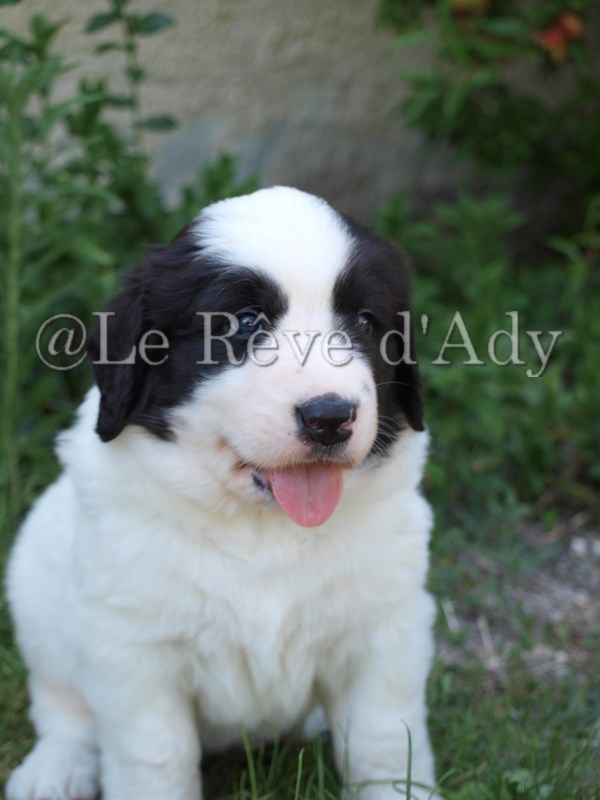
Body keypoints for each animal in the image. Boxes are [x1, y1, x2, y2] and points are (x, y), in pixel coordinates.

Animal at [6, 187, 437, 800]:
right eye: (244, 323)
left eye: (363, 321)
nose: (330, 417)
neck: (263, 528)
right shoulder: (133, 648)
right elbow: (154, 755)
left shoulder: (385, 626)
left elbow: (383, 738)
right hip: (35, 592)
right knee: (63, 708)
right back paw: (53, 771)